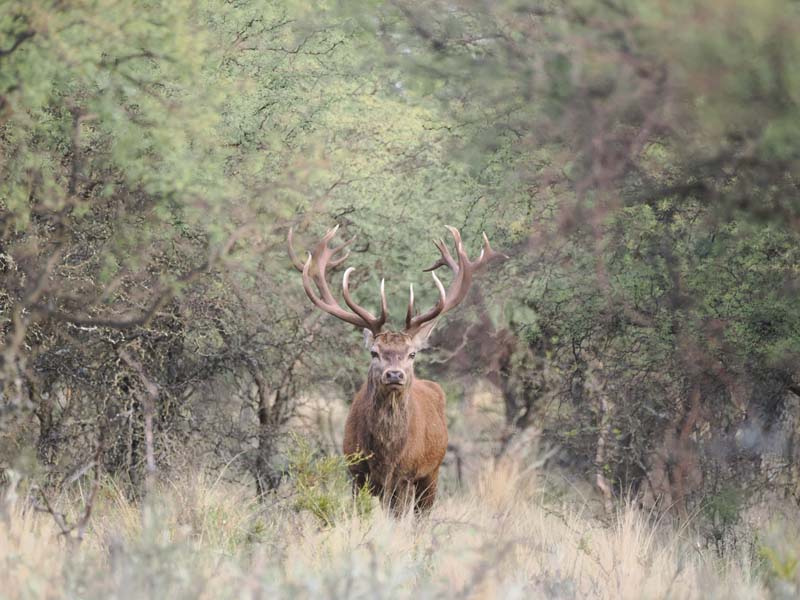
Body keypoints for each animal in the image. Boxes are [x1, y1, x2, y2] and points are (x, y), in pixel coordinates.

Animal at [288, 224, 502, 514]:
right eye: (374, 352)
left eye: (411, 354)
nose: (394, 374)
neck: (386, 455)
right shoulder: (356, 471)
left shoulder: (405, 474)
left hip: (432, 472)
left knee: (422, 513)